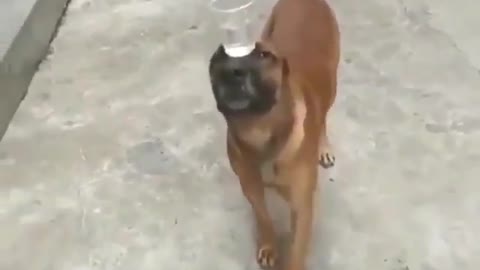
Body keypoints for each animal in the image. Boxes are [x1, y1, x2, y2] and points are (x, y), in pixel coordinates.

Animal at [208, 0, 340, 270]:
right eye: (217, 58)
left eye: (263, 56)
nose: (232, 70)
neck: (259, 132)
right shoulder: (251, 188)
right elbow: (263, 218)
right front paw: (269, 246)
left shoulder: (302, 207)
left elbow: (297, 253)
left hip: (332, 84)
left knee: (323, 115)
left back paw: (323, 147)